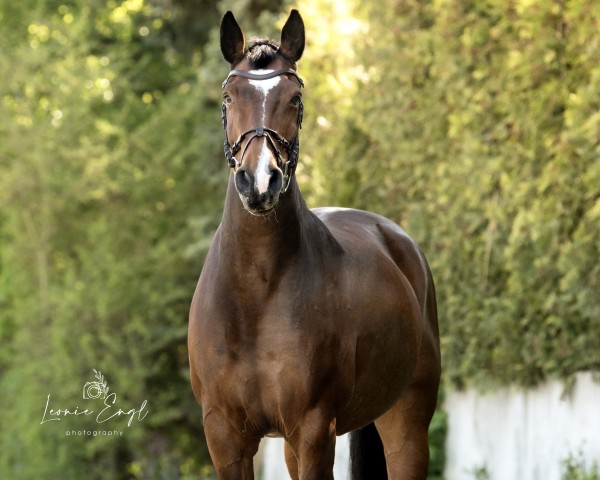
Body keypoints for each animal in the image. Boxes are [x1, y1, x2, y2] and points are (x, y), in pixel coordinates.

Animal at [188, 9, 440, 478]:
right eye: (228, 97)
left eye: (295, 99)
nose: (260, 182)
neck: (256, 294)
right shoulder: (224, 434)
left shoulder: (314, 429)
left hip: (407, 421)